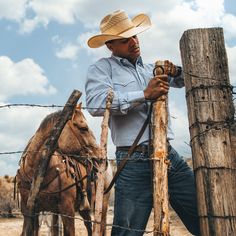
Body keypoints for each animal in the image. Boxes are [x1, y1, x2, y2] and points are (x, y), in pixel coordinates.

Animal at [16, 105, 112, 236]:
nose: (102, 158)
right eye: (83, 128)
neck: (38, 174)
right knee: (88, 225)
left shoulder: (67, 210)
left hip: (103, 204)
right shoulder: (30, 212)